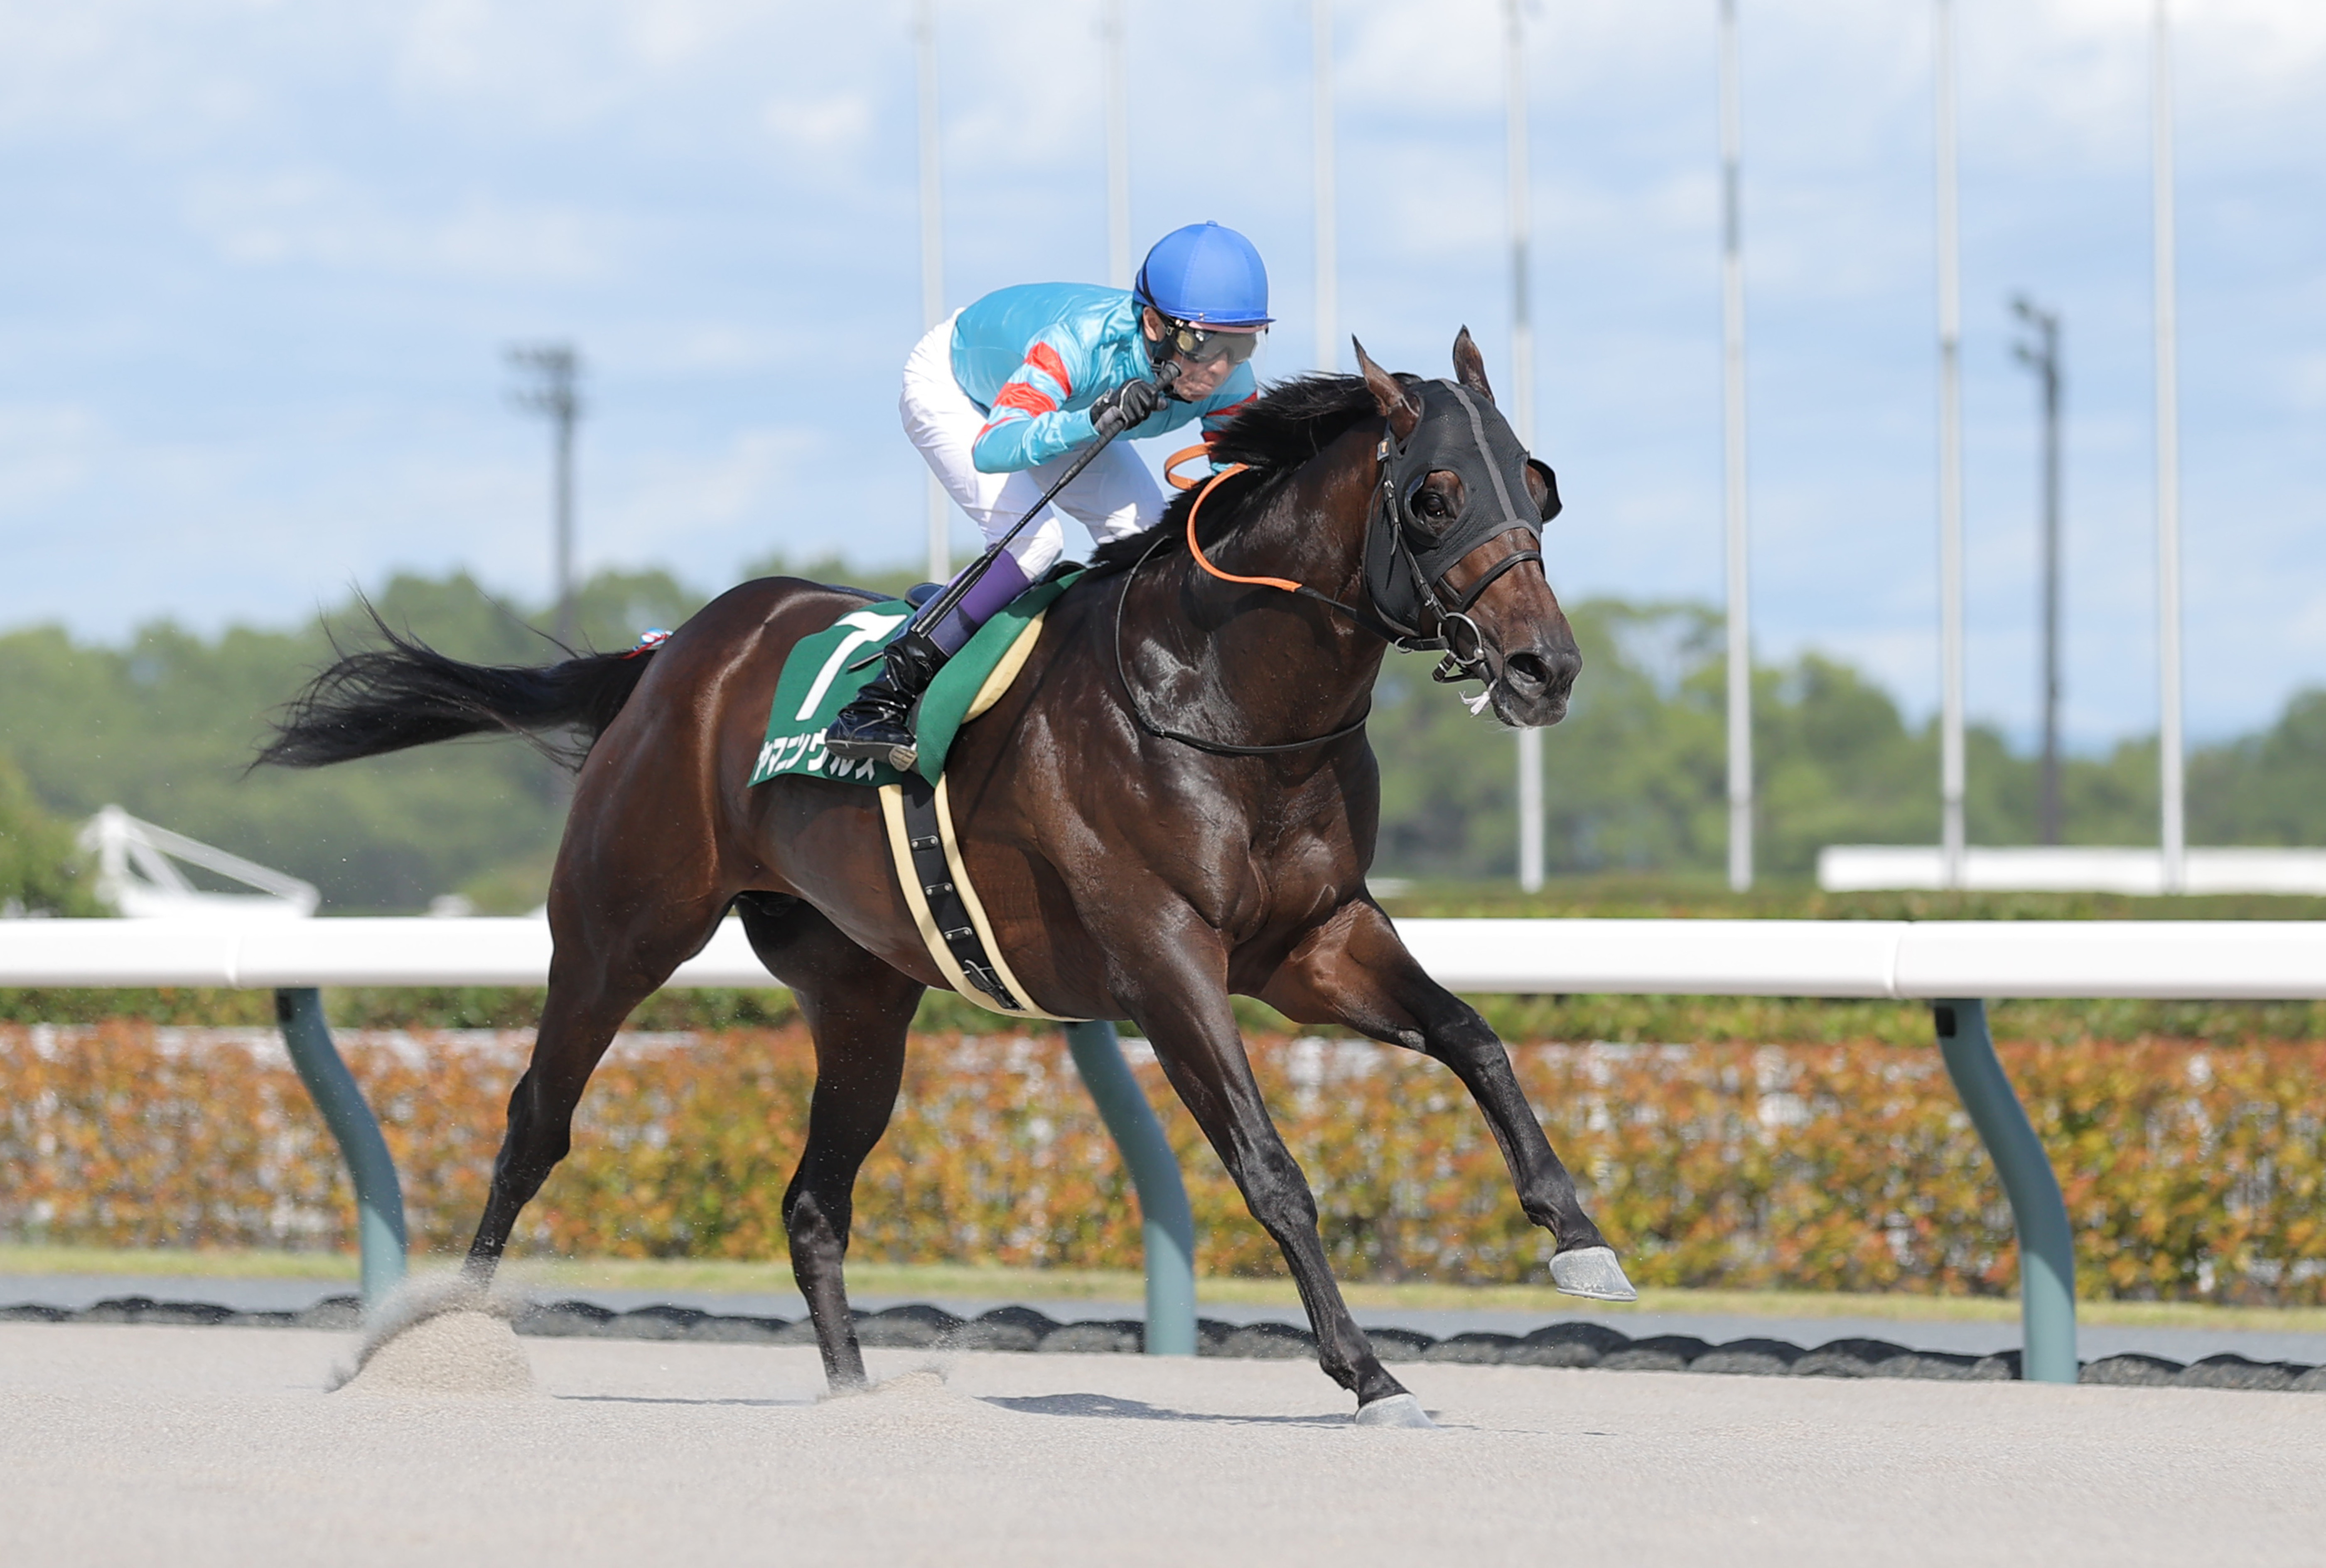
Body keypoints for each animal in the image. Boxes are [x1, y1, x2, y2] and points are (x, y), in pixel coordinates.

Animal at [260, 332, 1635, 1427]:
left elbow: (1473, 1038)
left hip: (860, 991)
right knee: (536, 1125)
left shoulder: (1315, 940)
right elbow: (1268, 1164)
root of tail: (674, 654)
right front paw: (1368, 1370)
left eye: (1540, 488)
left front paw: (1579, 1242)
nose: (1543, 666)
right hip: (617, 930)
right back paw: (443, 1336)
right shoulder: (1164, 957)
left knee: (813, 1200)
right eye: (1433, 495)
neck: (1224, 698)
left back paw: (855, 1392)